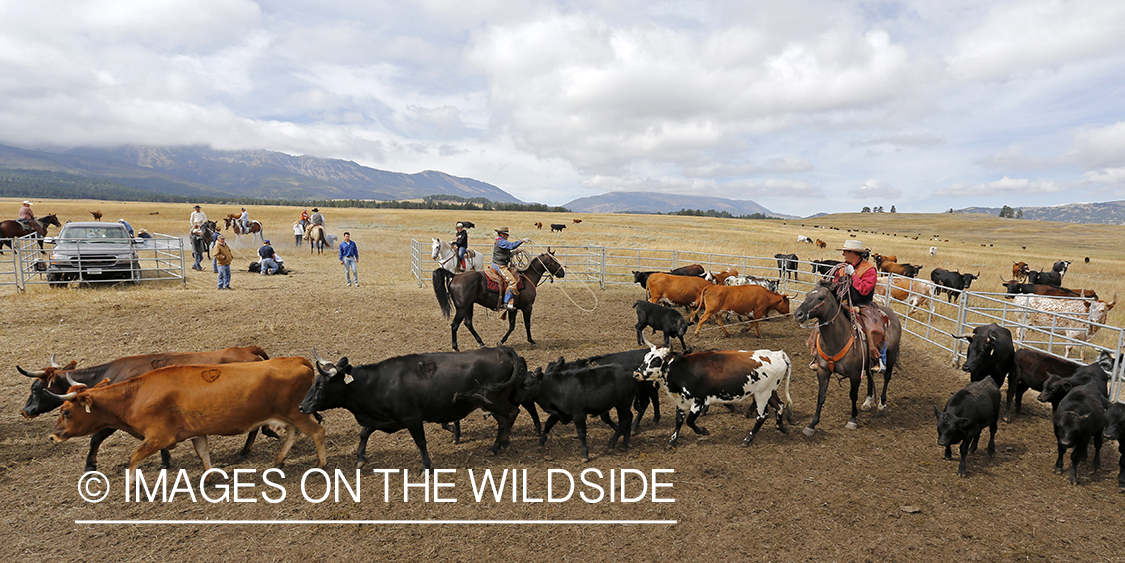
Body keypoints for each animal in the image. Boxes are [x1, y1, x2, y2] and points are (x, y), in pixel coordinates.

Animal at [50, 358, 324, 472]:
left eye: (66, 412)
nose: (53, 436)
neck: (136, 393)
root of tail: (296, 359)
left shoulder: (159, 436)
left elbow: (134, 458)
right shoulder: (196, 432)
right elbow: (203, 453)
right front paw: (210, 476)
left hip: (296, 413)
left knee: (317, 431)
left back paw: (320, 463)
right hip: (289, 416)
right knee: (293, 434)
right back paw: (278, 460)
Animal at [301, 346, 524, 470]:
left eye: (320, 385)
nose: (302, 406)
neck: (378, 383)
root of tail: (502, 350)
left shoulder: (412, 418)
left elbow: (421, 442)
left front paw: (426, 466)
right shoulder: (382, 418)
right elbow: (364, 433)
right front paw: (360, 458)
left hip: (494, 400)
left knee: (512, 413)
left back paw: (498, 445)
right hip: (490, 403)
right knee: (504, 420)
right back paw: (500, 445)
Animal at [434, 249, 567, 349]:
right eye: (555, 261)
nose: (563, 273)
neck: (528, 278)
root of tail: (455, 276)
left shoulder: (513, 309)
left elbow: (512, 326)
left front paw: (501, 341)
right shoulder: (527, 307)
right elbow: (527, 324)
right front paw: (532, 341)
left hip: (469, 306)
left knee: (468, 323)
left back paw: (481, 343)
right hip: (462, 308)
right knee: (454, 325)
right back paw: (456, 348)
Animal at [634, 337, 792, 448]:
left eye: (656, 360)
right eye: (646, 357)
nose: (636, 374)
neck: (682, 370)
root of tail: (779, 354)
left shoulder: (699, 401)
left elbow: (689, 421)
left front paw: (703, 431)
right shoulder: (681, 401)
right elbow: (679, 420)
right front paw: (672, 441)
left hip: (762, 394)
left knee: (762, 416)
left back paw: (748, 439)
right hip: (770, 392)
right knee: (780, 405)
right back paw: (781, 427)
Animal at [796, 281, 900, 434]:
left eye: (821, 298)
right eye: (807, 294)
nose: (798, 314)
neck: (837, 339)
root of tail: (892, 314)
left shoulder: (855, 374)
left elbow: (853, 395)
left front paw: (852, 420)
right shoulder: (823, 371)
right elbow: (821, 396)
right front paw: (812, 424)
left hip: (891, 357)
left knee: (887, 376)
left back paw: (881, 403)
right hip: (869, 362)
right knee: (870, 376)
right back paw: (867, 402)